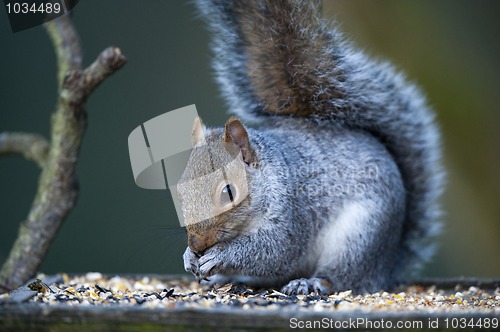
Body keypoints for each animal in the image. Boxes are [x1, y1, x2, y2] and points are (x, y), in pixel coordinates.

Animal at [181, 0, 446, 296]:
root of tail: (386, 265)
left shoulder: (293, 214)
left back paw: (309, 282)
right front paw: (189, 257)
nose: (197, 244)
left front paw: (220, 255)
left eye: (228, 192)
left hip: (358, 238)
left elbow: (275, 251)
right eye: (180, 191)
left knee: (340, 278)